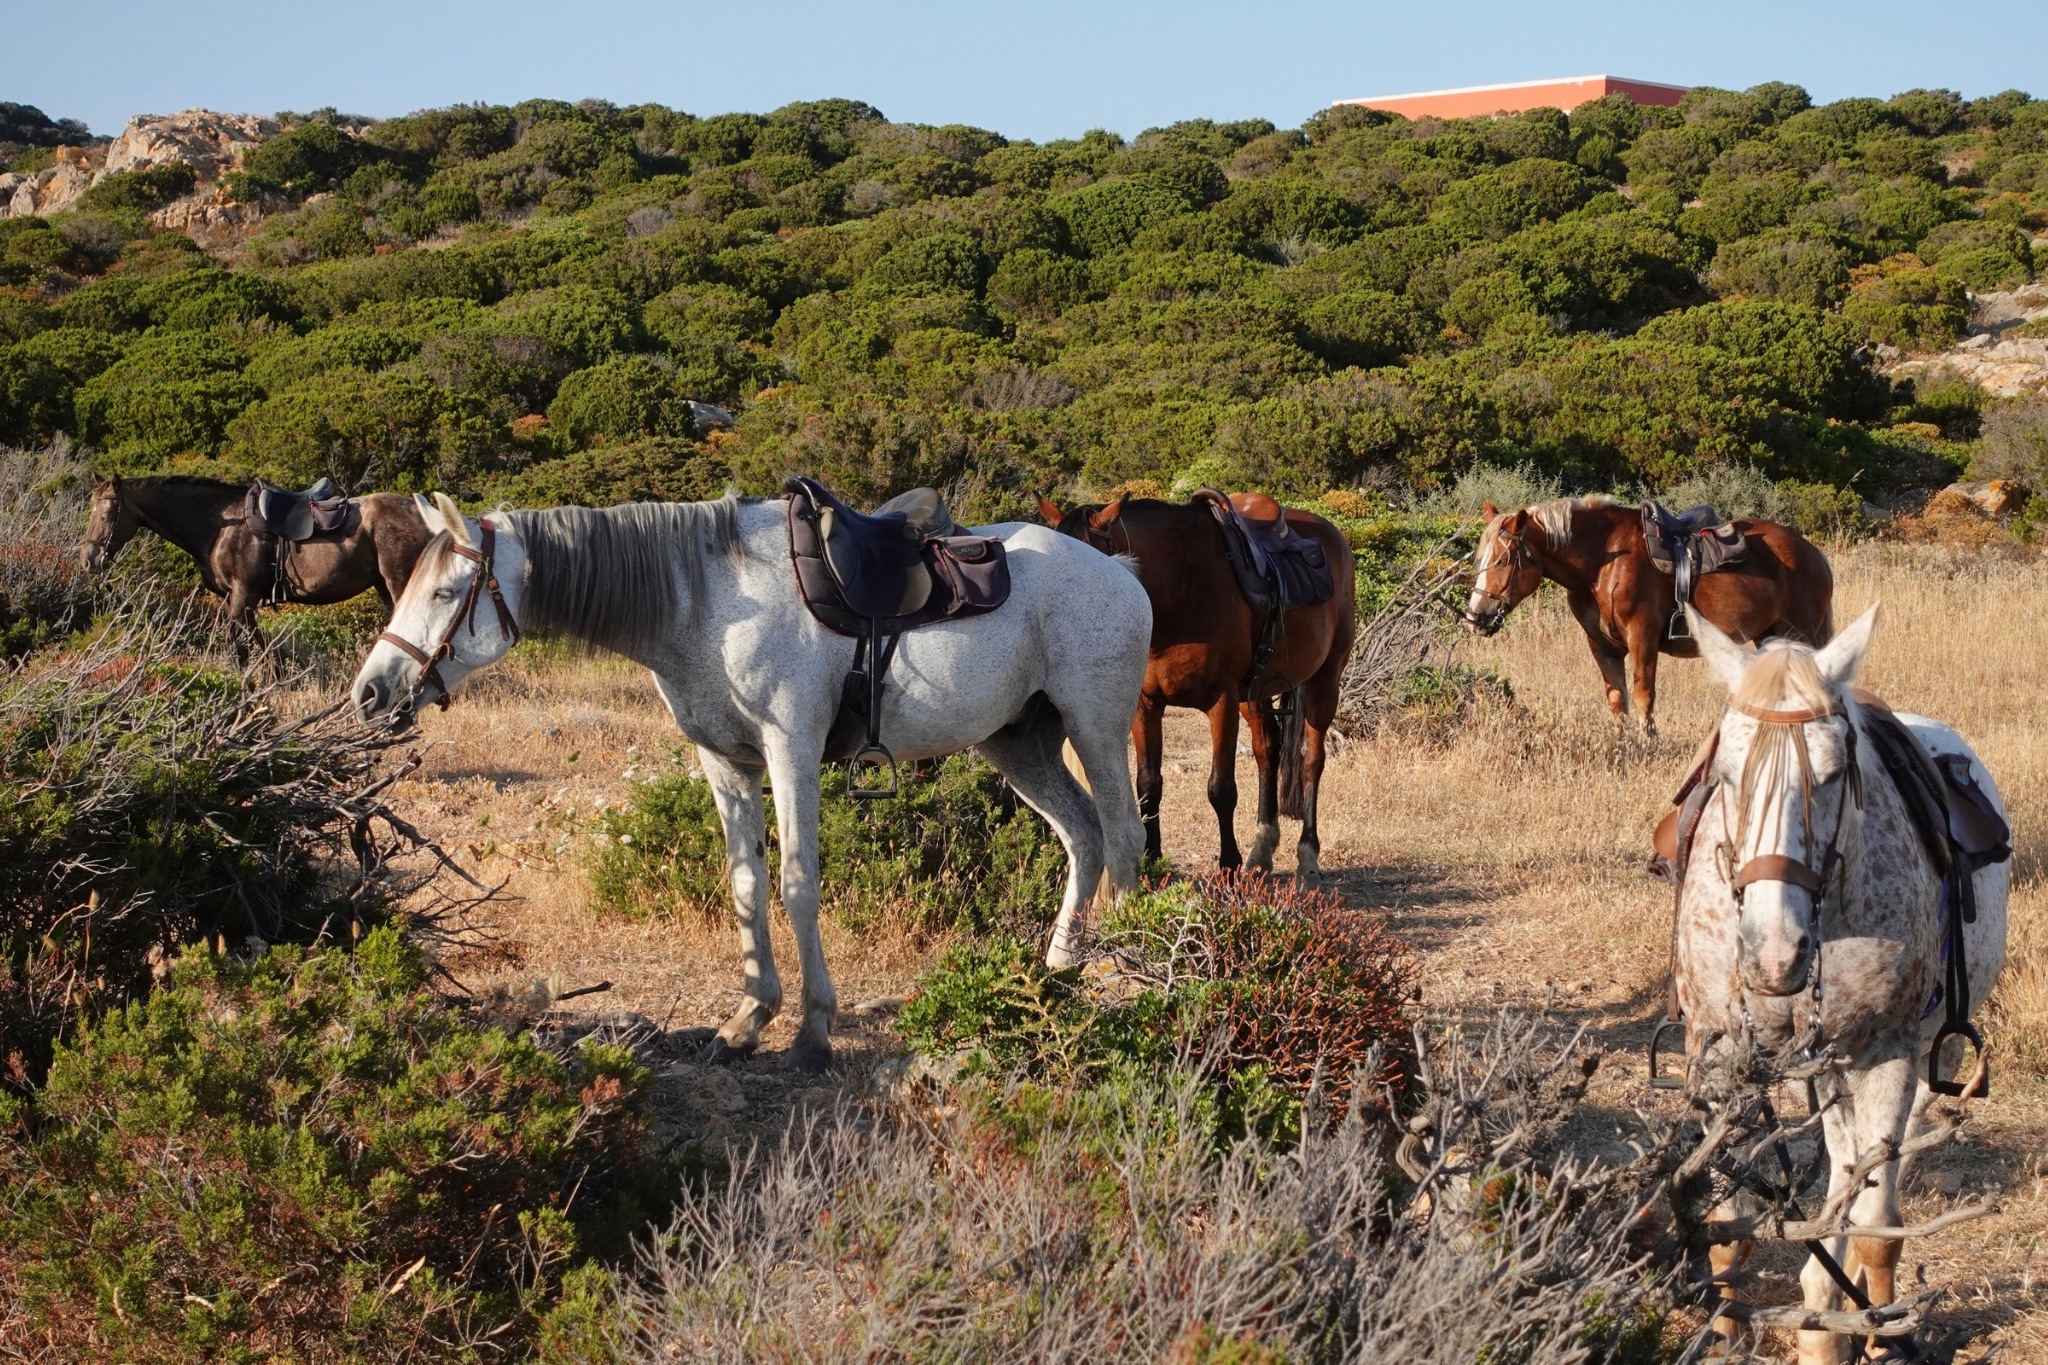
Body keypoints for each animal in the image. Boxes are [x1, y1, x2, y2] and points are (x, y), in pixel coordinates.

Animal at [80, 475, 429, 635]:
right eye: (90, 509)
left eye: (108, 513)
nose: (88, 559)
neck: (220, 525)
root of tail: (420, 509)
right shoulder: (234, 601)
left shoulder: (242, 598)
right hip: (383, 585)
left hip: (398, 583)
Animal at [351, 492, 1151, 1073]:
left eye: (449, 591)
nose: (370, 692)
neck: (706, 602)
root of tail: (1123, 571)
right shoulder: (726, 762)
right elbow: (745, 880)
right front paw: (748, 1017)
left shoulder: (789, 748)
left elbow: (797, 882)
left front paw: (813, 1029)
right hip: (1019, 744)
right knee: (1084, 837)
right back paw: (1059, 971)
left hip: (1096, 726)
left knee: (1124, 838)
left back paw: (1127, 973)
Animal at [1039, 494, 1355, 886]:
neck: (1178, 590)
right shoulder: (1146, 705)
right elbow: (1148, 784)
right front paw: (1153, 860)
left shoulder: (1223, 700)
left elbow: (1221, 789)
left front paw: (1228, 866)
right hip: (1256, 695)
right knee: (1267, 752)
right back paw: (1261, 853)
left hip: (1324, 681)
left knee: (1311, 760)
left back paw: (1307, 862)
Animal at [1462, 495, 1833, 736]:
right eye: (1480, 558)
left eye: (1502, 561)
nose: (1476, 617)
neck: (1604, 563)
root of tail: (1813, 554)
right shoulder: (1602, 646)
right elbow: (1617, 698)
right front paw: (1623, 745)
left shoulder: (1643, 637)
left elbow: (1643, 696)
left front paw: (1647, 743)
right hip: (1771, 636)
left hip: (1801, 634)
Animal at [1675, 607, 2008, 1363]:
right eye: (1727, 774)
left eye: (1831, 776)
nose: (1773, 956)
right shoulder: (1719, 1057)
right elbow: (1729, 1222)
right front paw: (1730, 1328)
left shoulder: (1887, 1055)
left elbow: (1877, 1224)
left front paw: (1874, 1332)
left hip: (1921, 1051)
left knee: (1878, 1171)